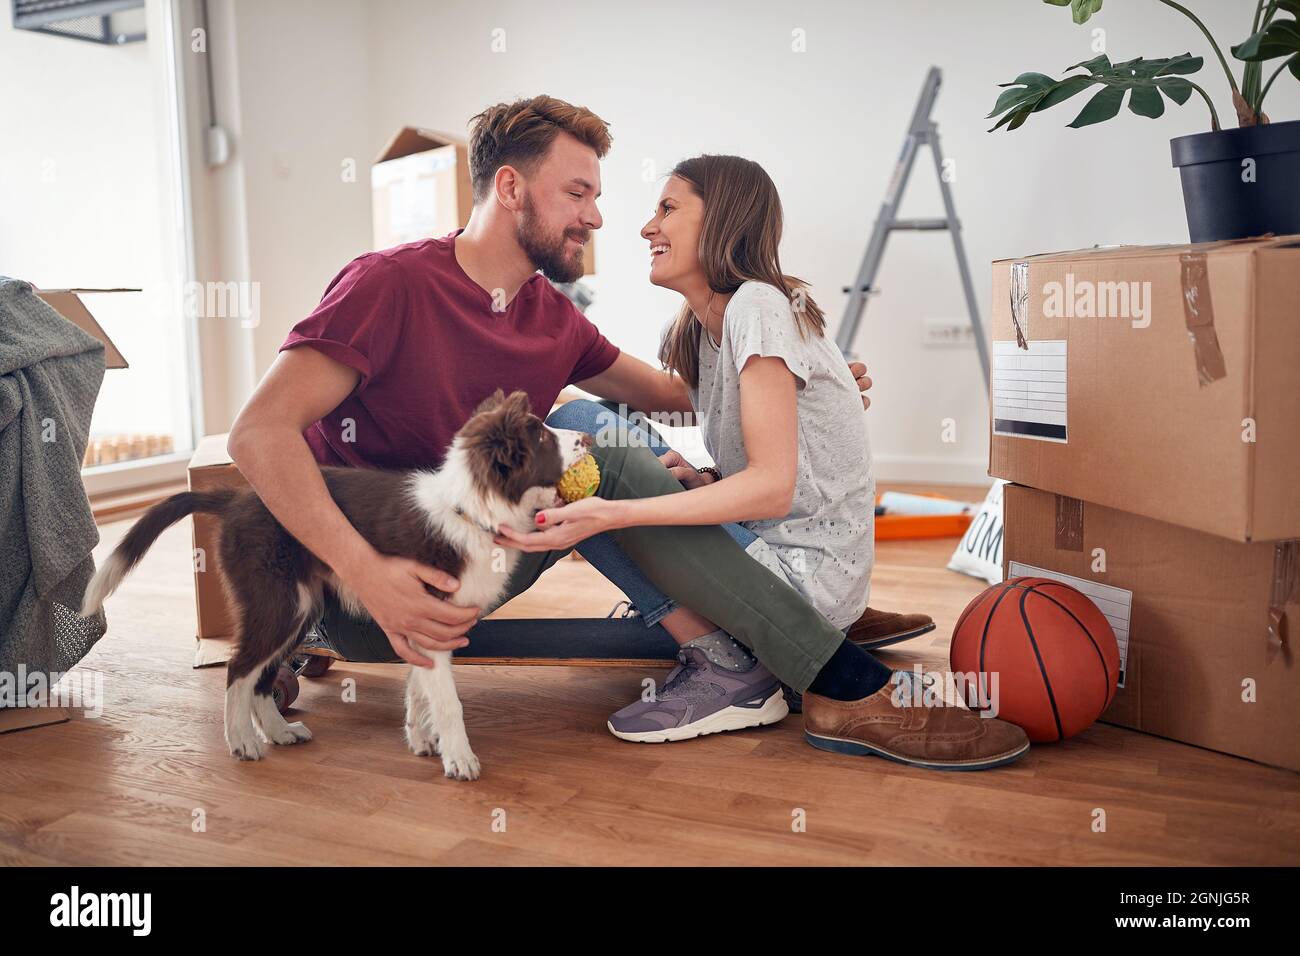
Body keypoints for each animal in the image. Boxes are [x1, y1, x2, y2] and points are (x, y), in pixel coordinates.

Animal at [78, 390, 592, 780]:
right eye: (542, 436)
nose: (589, 436)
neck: (470, 510)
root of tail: (235, 499)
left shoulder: (429, 623)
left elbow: (420, 686)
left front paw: (420, 738)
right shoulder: (428, 615)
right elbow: (448, 700)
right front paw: (459, 758)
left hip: (301, 605)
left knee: (261, 678)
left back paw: (279, 732)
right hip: (276, 600)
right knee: (239, 669)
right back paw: (242, 741)